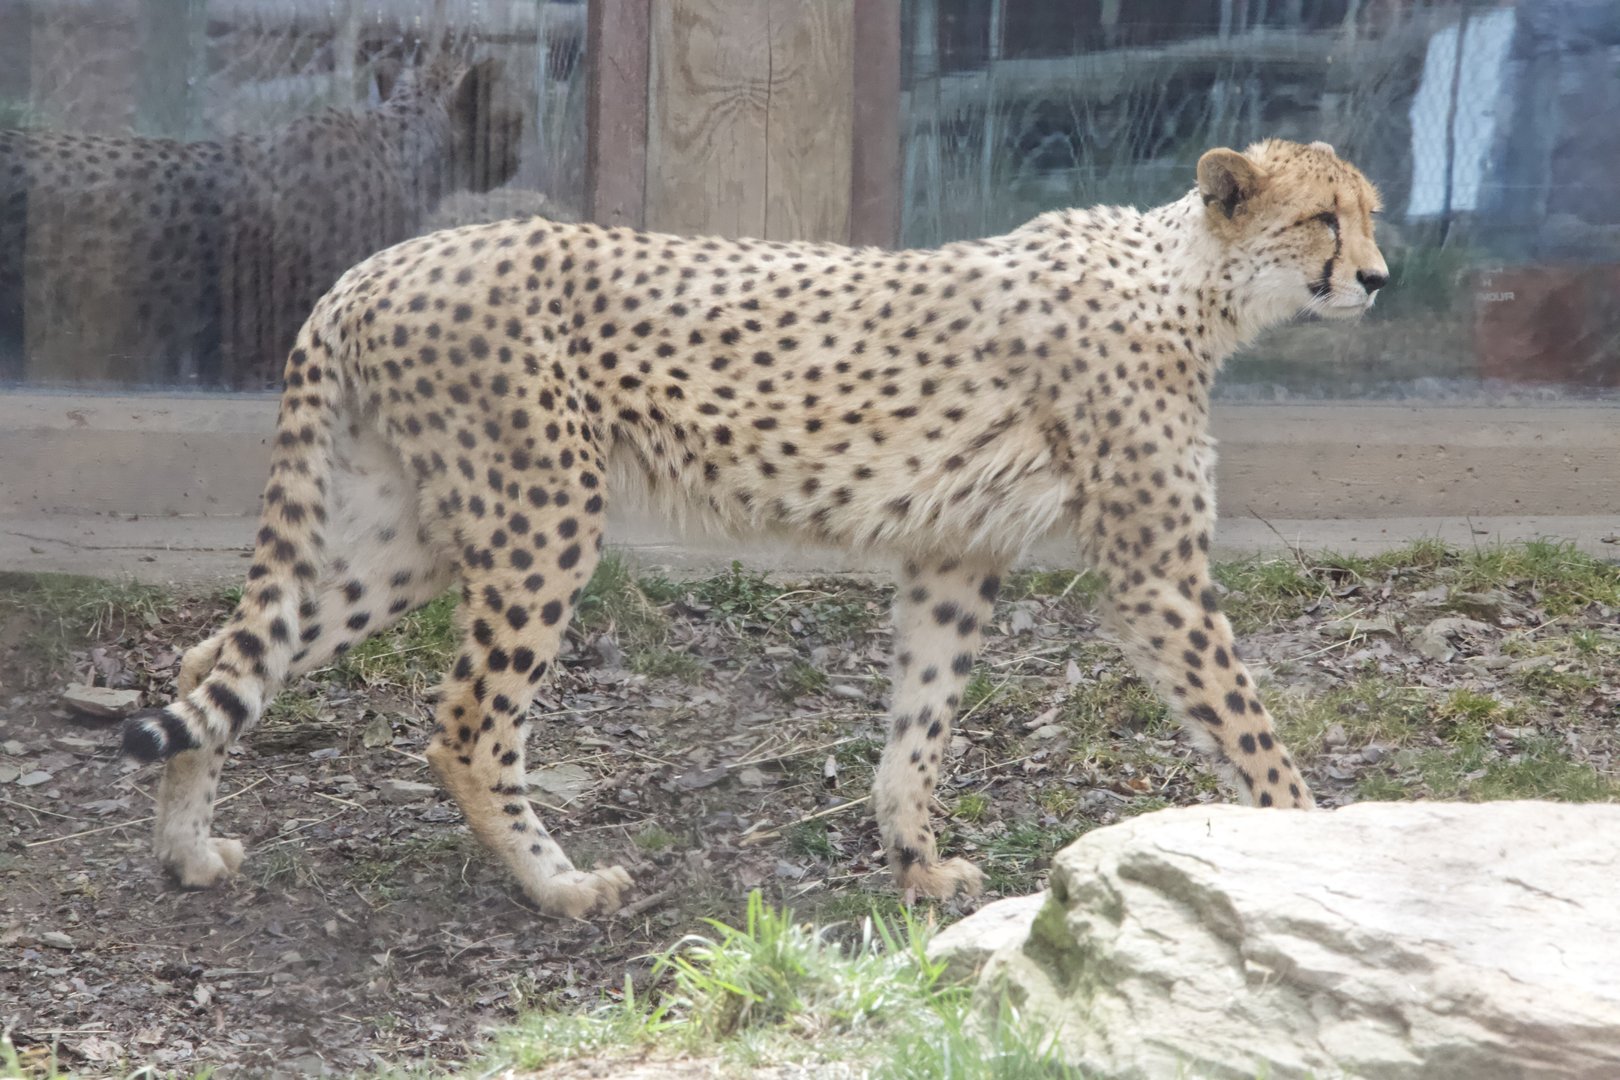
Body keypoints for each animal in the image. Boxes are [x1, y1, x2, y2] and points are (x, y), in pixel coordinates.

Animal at [122, 138, 1387, 918]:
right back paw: (559, 887)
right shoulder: (1157, 577)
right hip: (542, 514)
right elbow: (1250, 727)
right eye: (1324, 217)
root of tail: (376, 263)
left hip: (418, 531)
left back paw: (185, 852)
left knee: (218, 656)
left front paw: (918, 868)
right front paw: (1317, 848)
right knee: (469, 723)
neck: (1189, 282)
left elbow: (920, 724)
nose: (1379, 277)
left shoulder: (956, 554)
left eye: (1369, 214)